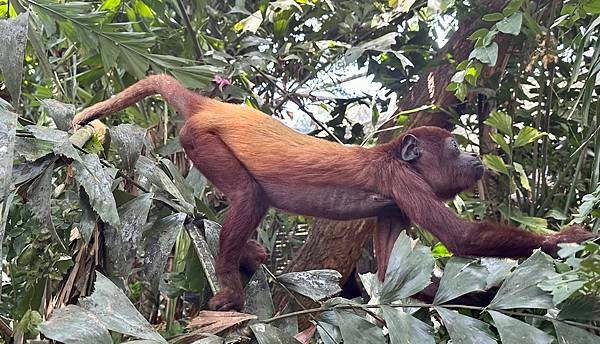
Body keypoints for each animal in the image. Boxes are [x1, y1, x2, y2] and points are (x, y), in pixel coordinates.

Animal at [74, 75, 596, 312]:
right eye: (452, 145)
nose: (473, 157)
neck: (393, 155)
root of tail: (212, 105)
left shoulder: (395, 205)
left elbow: (389, 271)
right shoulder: (404, 182)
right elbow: (461, 237)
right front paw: (563, 240)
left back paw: (249, 256)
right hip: (201, 138)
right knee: (247, 195)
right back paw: (231, 285)